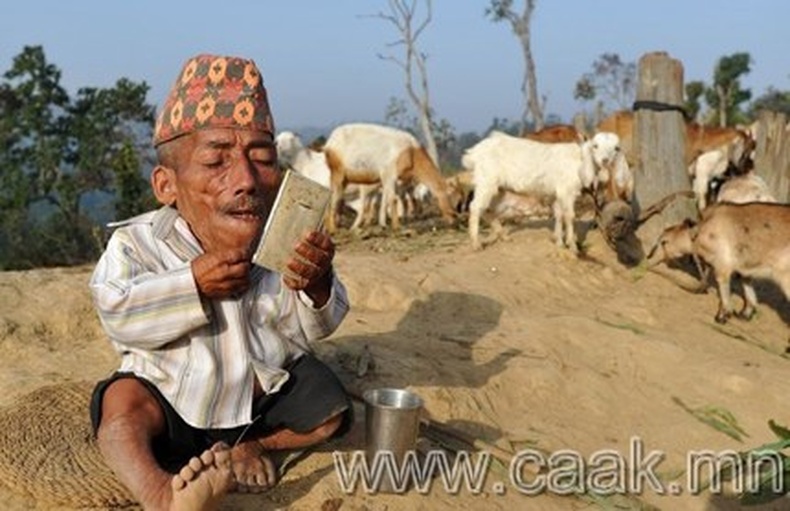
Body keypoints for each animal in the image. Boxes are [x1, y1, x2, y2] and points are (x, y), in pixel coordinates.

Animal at [464, 131, 624, 251]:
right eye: (595, 146)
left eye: (616, 148)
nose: (605, 160)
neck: (580, 161)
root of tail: (473, 153)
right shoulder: (567, 191)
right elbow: (569, 216)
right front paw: (572, 245)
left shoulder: (557, 193)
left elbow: (558, 215)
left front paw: (559, 241)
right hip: (486, 180)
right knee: (475, 206)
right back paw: (476, 243)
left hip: (499, 188)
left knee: (487, 210)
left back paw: (503, 236)